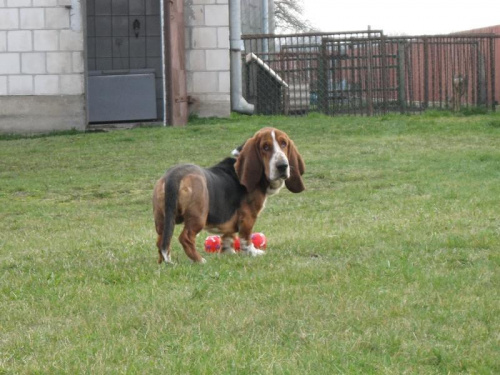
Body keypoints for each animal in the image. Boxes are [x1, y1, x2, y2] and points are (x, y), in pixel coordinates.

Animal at [150, 128, 304, 266]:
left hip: (162, 219)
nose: (282, 166)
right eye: (265, 147)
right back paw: (199, 260)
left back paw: (163, 262)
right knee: (185, 238)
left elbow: (228, 237)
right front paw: (252, 253)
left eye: (284, 144)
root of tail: (174, 175)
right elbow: (245, 238)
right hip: (198, 216)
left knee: (161, 241)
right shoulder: (248, 216)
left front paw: (228, 253)